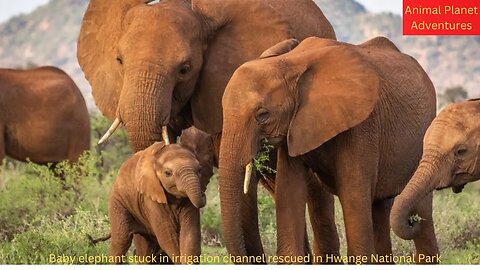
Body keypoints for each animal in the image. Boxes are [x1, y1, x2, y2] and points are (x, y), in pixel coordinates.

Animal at [109, 127, 216, 264]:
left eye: (200, 170)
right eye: (168, 173)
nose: (203, 194)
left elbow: (190, 235)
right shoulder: (150, 197)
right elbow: (167, 236)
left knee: (146, 248)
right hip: (118, 200)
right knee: (121, 240)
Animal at [219, 37, 440, 262]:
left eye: (262, 115)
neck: (290, 62)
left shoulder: (361, 126)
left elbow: (353, 198)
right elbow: (289, 193)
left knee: (421, 210)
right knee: (380, 209)